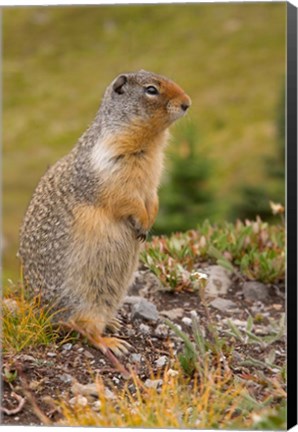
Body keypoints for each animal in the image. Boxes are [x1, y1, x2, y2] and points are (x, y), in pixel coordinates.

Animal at [19, 71, 191, 360]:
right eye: (151, 90)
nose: (187, 103)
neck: (150, 142)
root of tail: (42, 314)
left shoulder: (152, 176)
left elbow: (153, 197)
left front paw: (149, 219)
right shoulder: (110, 165)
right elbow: (124, 198)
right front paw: (141, 222)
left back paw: (113, 321)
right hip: (86, 299)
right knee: (85, 330)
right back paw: (111, 341)